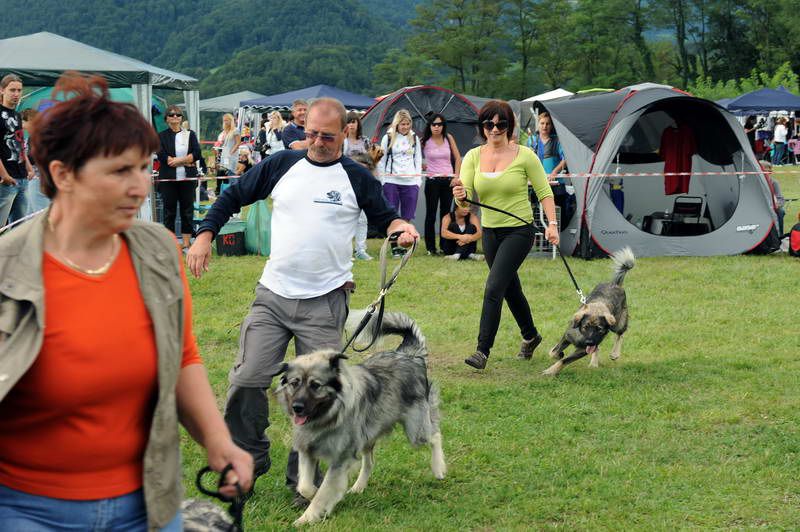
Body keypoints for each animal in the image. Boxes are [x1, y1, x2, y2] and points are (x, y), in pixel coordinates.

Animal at [278, 312, 446, 524]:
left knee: (435, 435)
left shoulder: (340, 459)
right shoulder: (308, 450)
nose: (297, 408)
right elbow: (306, 486)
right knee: (369, 462)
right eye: (295, 383)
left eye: (315, 385)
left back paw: (439, 468)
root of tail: (408, 355)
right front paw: (315, 498)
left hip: (416, 431)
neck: (329, 417)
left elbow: (324, 492)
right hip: (368, 435)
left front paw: (307, 517)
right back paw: (358, 487)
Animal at [544, 247, 636, 376]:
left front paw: (551, 370)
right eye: (585, 327)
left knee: (620, 334)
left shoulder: (583, 350)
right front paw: (558, 355)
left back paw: (614, 353)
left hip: (618, 323)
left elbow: (565, 360)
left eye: (599, 328)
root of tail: (615, 284)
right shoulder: (568, 336)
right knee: (599, 346)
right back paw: (594, 362)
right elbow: (553, 353)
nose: (589, 342)